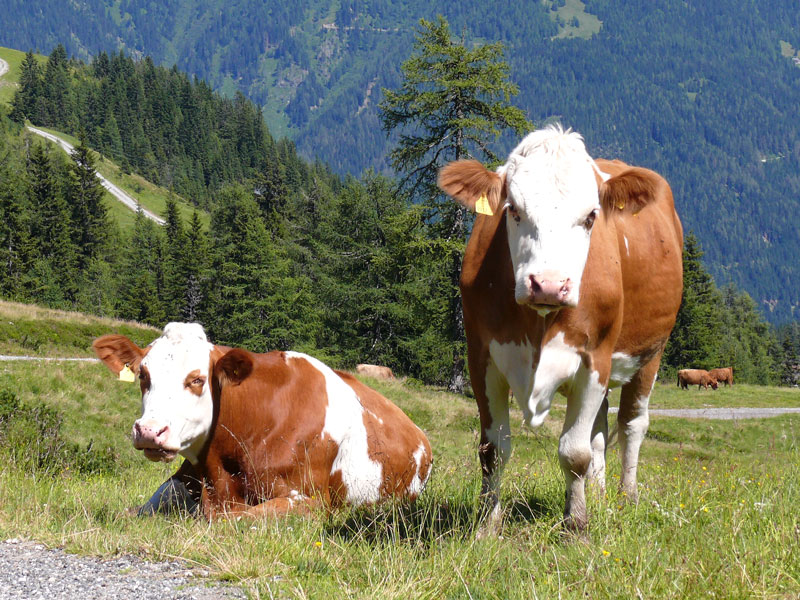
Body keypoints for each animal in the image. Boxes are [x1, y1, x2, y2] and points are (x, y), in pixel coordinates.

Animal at [92, 324, 432, 520]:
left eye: (197, 379)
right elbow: (133, 512)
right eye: (143, 375)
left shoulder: (310, 499)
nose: (149, 431)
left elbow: (235, 517)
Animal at [434, 125, 684, 528]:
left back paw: (626, 498)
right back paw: (599, 494)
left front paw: (576, 525)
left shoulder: (594, 359)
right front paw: (488, 525)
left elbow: (574, 452)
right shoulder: (481, 358)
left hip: (650, 354)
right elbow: (493, 450)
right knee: (600, 428)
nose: (549, 285)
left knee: (632, 424)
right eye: (513, 210)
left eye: (591, 216)